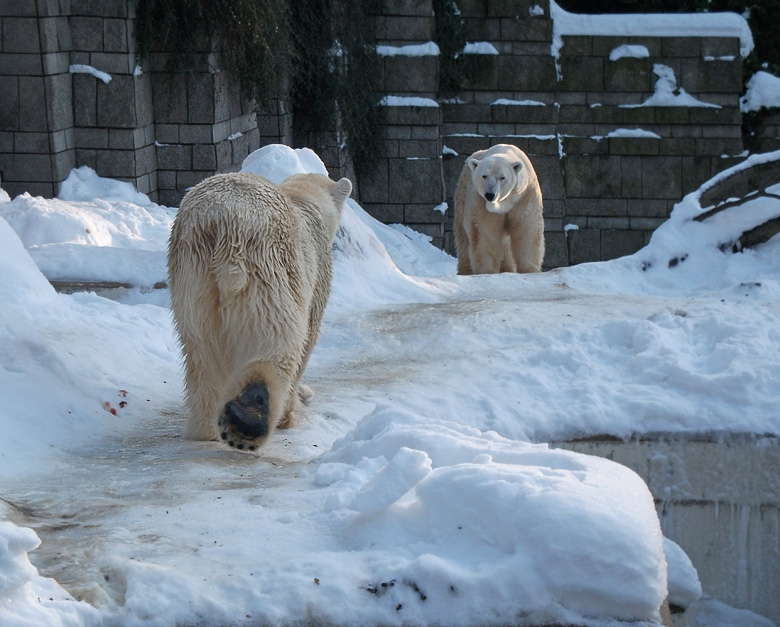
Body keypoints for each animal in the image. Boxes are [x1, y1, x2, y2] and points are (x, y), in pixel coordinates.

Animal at [172, 172, 354, 452]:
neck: (303, 198)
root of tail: (226, 221)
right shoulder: (315, 273)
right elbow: (308, 337)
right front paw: (295, 406)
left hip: (192, 277)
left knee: (201, 352)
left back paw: (205, 428)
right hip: (270, 269)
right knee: (279, 342)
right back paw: (249, 418)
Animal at [454, 146, 544, 276]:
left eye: (502, 177)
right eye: (484, 176)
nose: (490, 194)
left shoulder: (525, 195)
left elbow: (527, 227)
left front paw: (529, 270)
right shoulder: (480, 201)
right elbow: (484, 232)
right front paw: (486, 271)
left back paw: (507, 268)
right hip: (463, 193)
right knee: (463, 237)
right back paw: (465, 270)